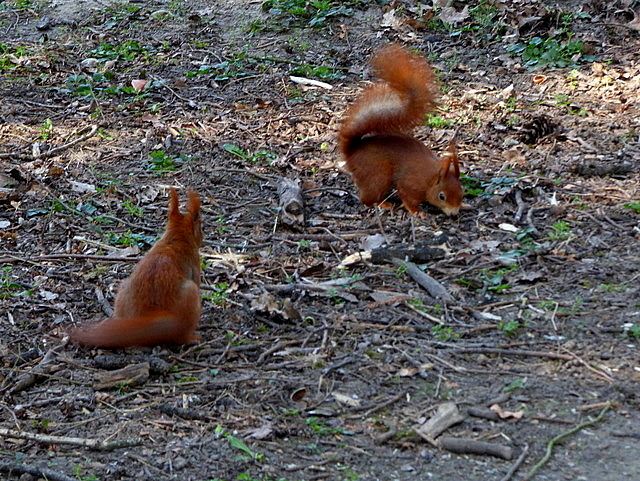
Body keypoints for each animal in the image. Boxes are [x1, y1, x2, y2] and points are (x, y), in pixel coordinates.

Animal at [69, 188, 203, 348]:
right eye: (200, 226)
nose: (202, 237)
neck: (175, 238)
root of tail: (151, 315)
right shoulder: (194, 264)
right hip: (191, 294)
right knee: (181, 336)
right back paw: (192, 338)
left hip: (124, 289)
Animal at [338, 43, 463, 217]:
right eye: (442, 196)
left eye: (462, 193)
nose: (454, 213)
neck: (430, 178)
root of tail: (352, 152)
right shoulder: (410, 184)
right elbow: (407, 198)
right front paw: (417, 212)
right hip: (378, 175)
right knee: (367, 199)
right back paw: (383, 204)